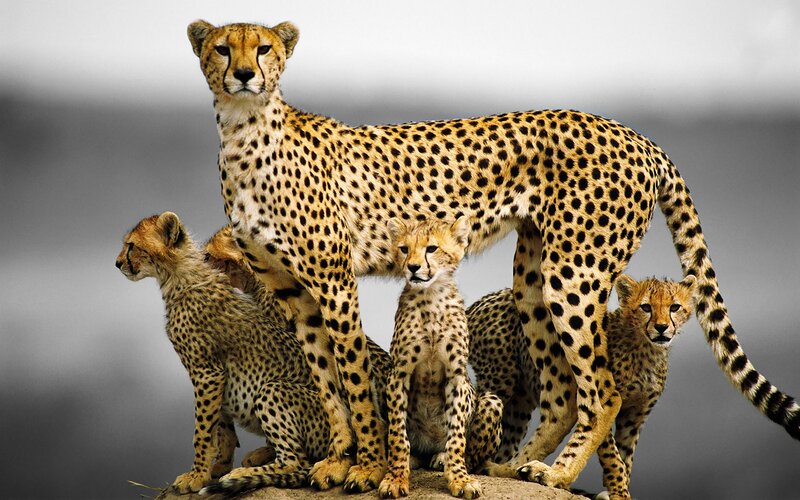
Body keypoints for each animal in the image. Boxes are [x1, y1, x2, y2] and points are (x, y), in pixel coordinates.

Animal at [379, 218, 503, 499]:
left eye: (432, 248)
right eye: (404, 249)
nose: (413, 267)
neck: (431, 296)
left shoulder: (457, 377)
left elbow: (457, 436)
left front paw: (460, 479)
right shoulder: (398, 373)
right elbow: (397, 434)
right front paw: (396, 477)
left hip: (492, 401)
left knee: (473, 455)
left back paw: (443, 458)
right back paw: (415, 458)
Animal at [469, 275, 696, 500]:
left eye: (674, 307)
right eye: (646, 307)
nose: (661, 327)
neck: (646, 347)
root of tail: (483, 300)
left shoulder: (635, 417)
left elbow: (626, 456)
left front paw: (618, 489)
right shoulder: (603, 400)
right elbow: (612, 456)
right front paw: (618, 490)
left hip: (520, 402)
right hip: (500, 380)